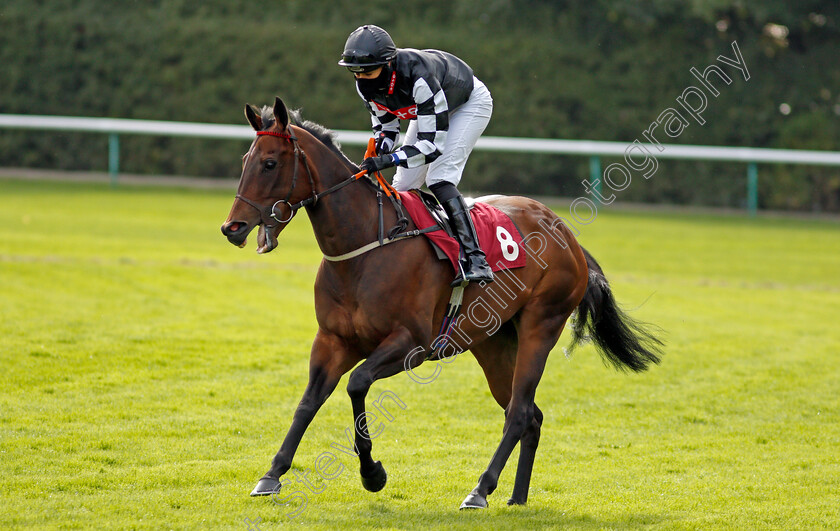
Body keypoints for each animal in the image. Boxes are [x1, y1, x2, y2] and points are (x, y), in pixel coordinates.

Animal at [221, 96, 664, 512]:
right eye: (245, 161)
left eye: (270, 163)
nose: (233, 227)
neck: (365, 248)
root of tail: (567, 235)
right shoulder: (333, 340)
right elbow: (308, 402)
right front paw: (271, 475)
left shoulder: (411, 344)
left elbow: (357, 384)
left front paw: (372, 473)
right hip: (493, 342)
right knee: (529, 414)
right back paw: (517, 497)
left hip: (542, 323)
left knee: (519, 412)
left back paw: (480, 490)